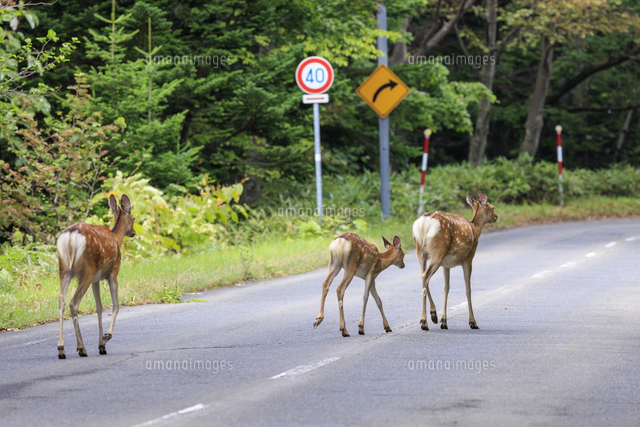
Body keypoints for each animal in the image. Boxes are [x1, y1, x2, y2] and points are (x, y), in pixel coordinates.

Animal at [56, 194, 135, 359]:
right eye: (134, 218)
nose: (134, 232)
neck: (117, 238)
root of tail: (71, 236)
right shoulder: (113, 273)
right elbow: (116, 305)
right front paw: (106, 338)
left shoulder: (96, 280)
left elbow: (99, 308)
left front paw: (101, 346)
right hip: (87, 270)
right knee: (73, 303)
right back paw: (81, 348)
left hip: (64, 269)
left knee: (62, 300)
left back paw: (61, 349)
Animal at [412, 192, 498, 331]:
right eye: (492, 207)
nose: (496, 217)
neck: (475, 229)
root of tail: (424, 222)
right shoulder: (469, 259)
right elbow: (468, 289)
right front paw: (473, 322)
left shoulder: (446, 265)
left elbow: (446, 288)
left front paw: (443, 321)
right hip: (438, 250)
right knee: (426, 276)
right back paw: (424, 321)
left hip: (421, 252)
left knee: (424, 276)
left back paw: (432, 315)